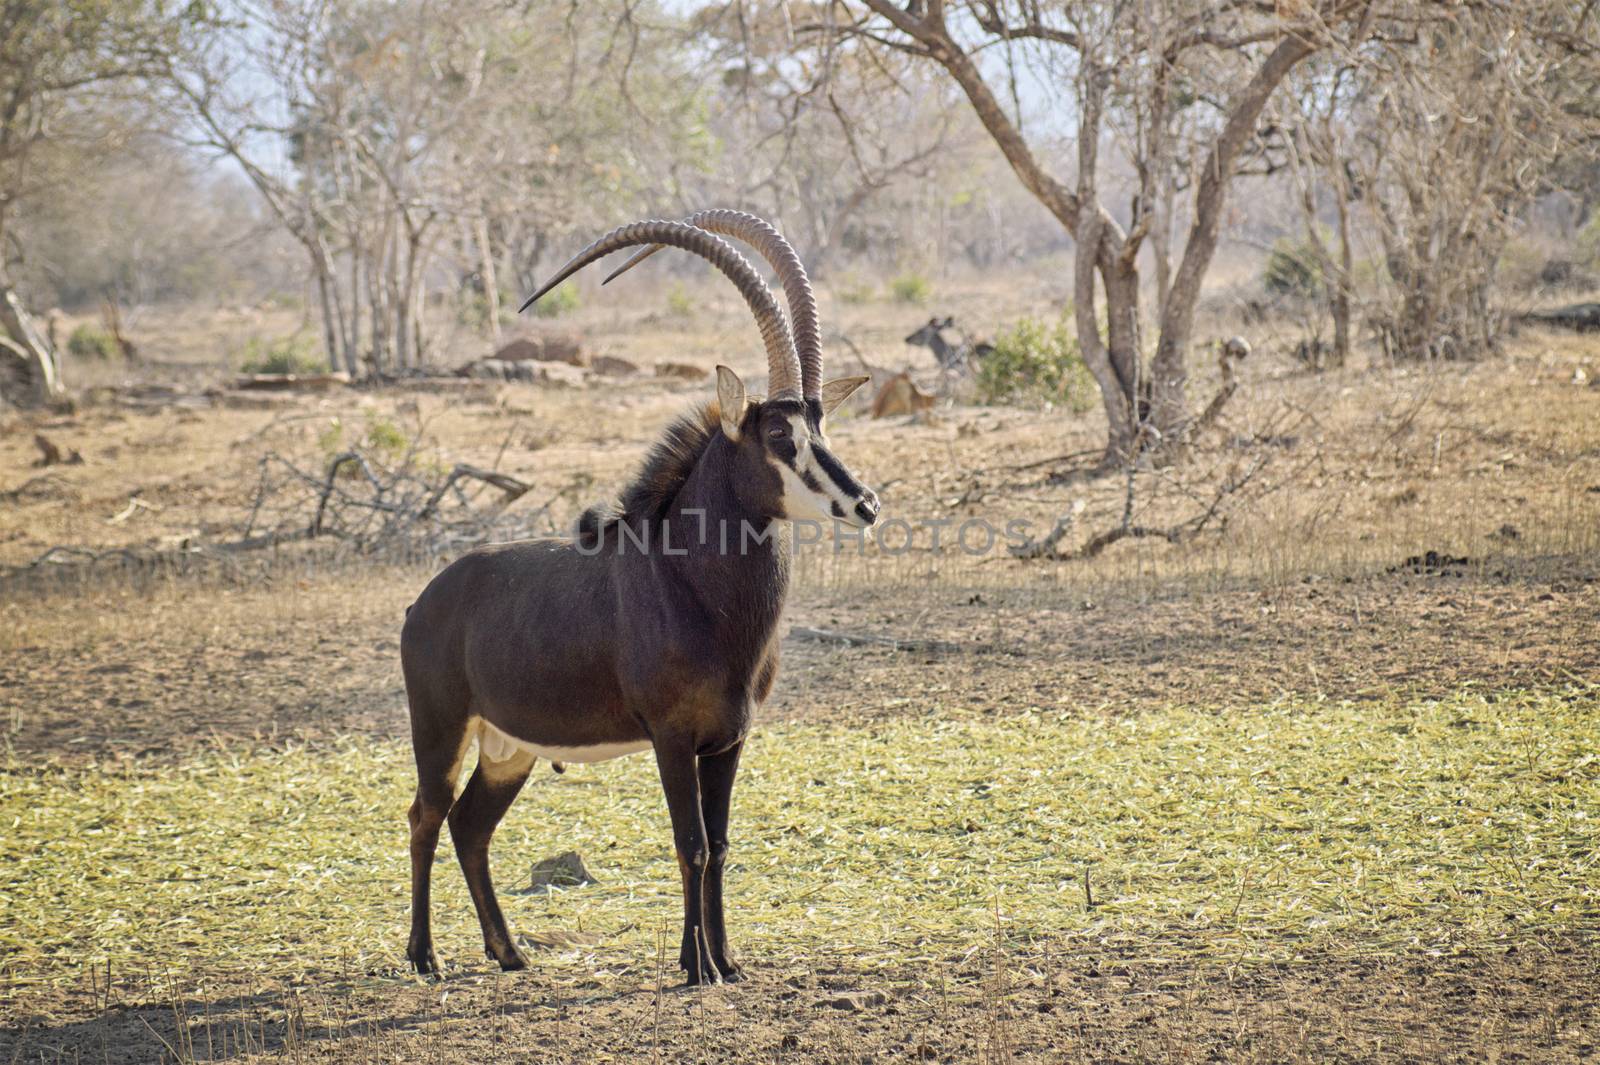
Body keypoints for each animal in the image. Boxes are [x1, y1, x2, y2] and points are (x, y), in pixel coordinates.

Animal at [395, 211, 883, 985]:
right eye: (779, 432)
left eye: (821, 426)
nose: (864, 503)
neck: (692, 587)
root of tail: (426, 602)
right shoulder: (672, 738)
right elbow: (691, 844)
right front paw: (699, 966)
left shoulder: (729, 739)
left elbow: (720, 845)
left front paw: (724, 961)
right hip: (440, 730)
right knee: (426, 815)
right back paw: (424, 956)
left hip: (509, 749)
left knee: (471, 826)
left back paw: (509, 952)